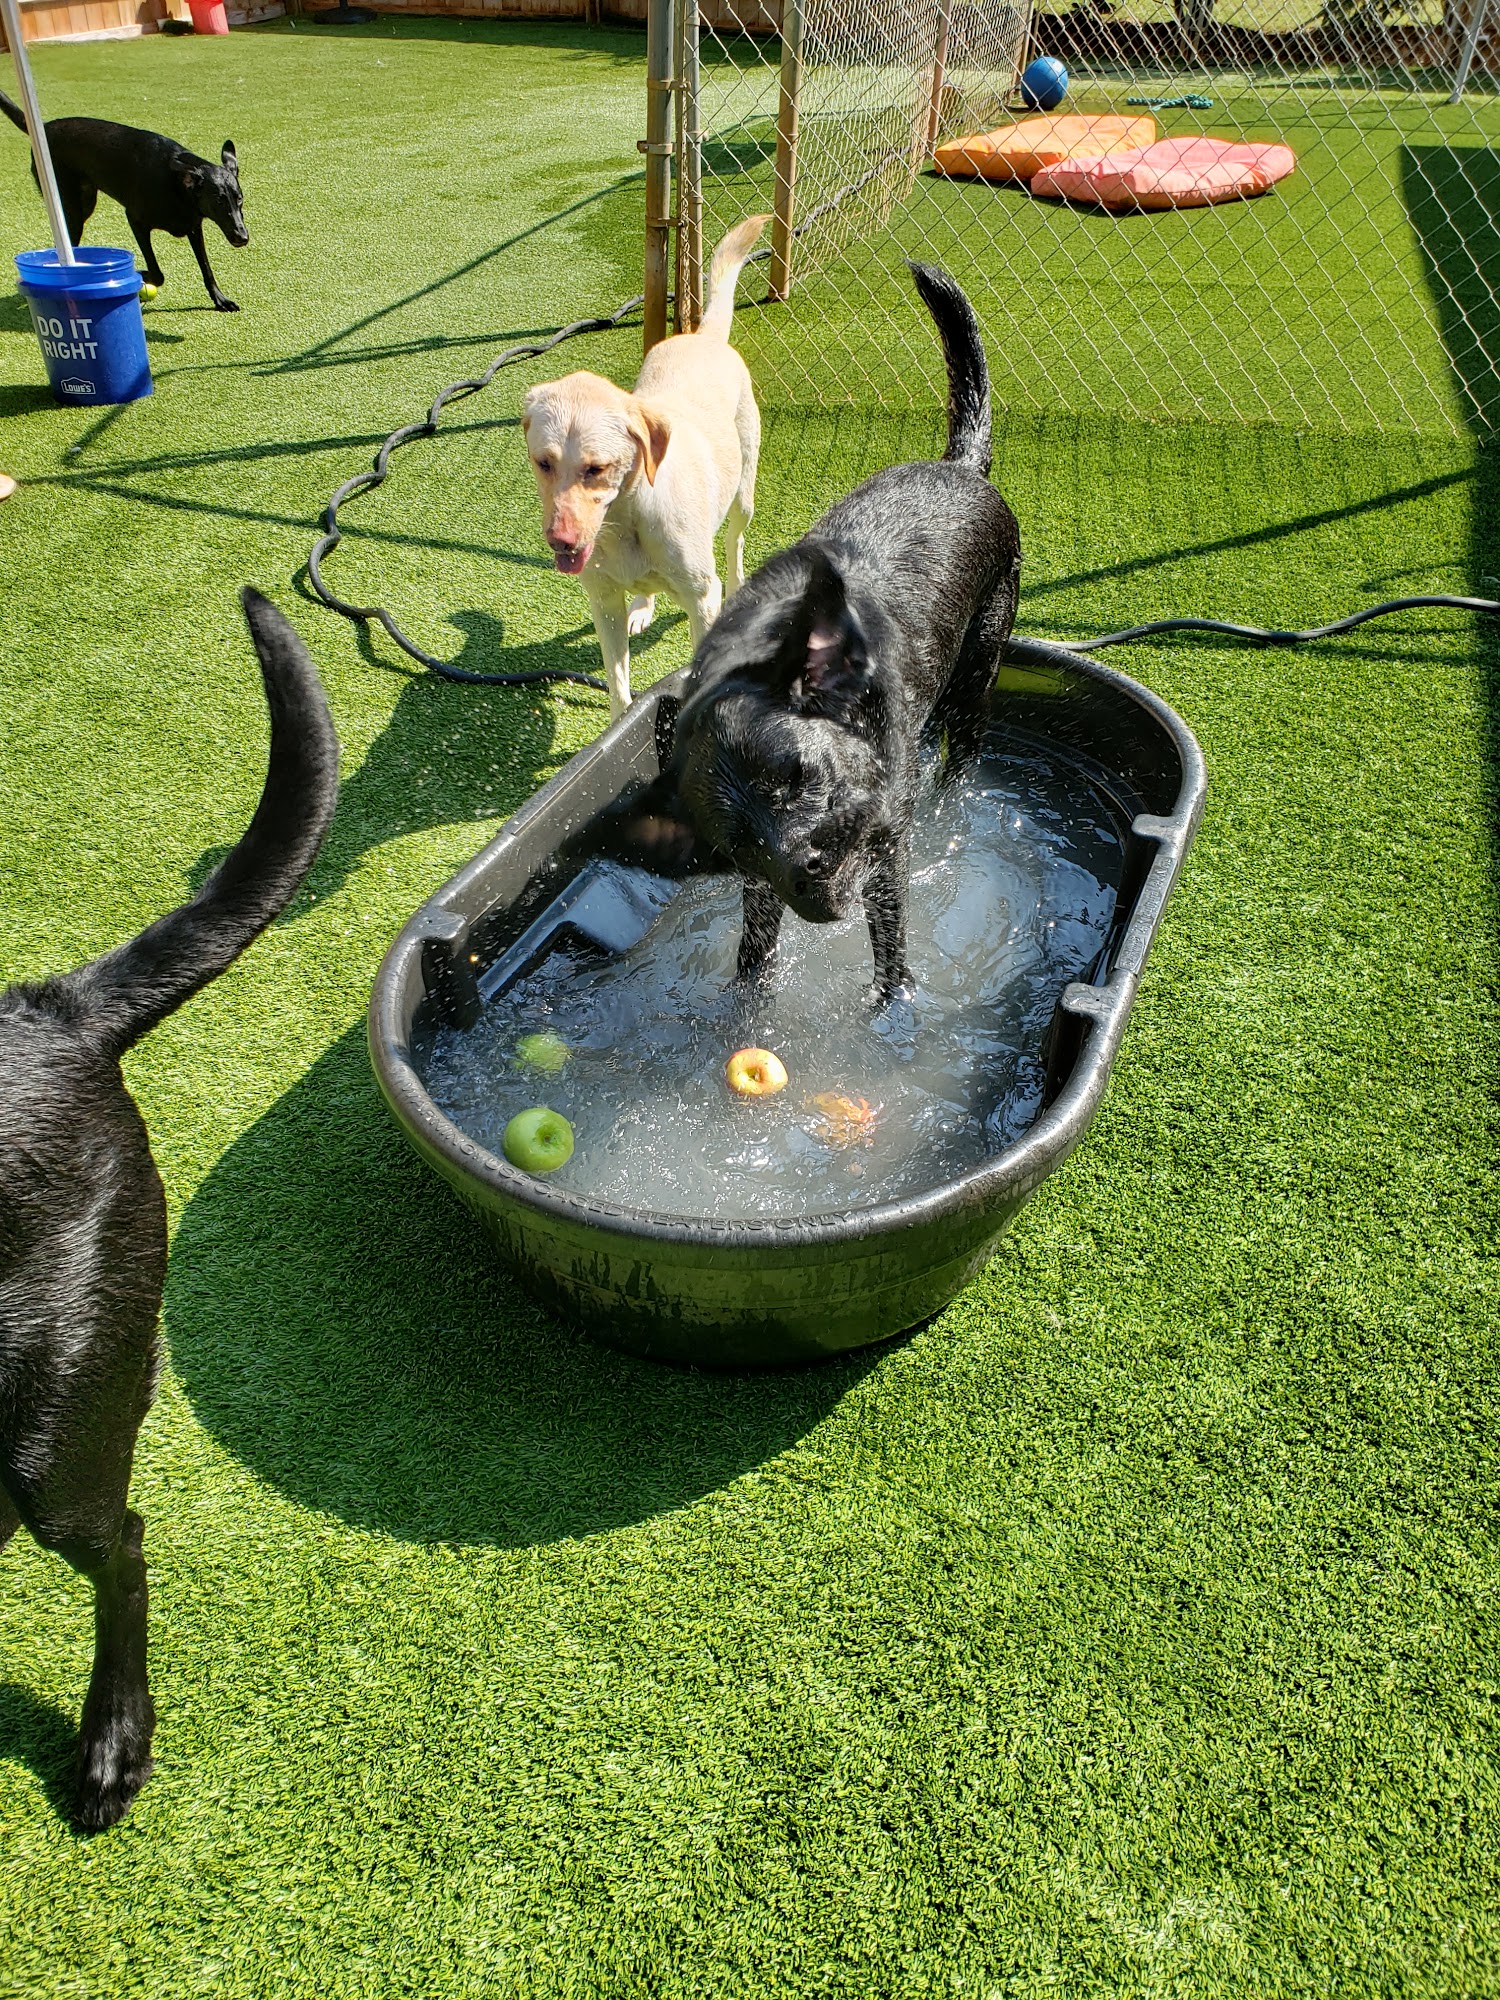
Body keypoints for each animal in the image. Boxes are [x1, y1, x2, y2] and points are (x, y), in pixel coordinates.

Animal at [0, 91, 248, 311]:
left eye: (239, 199)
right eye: (218, 201)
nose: (242, 236)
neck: (178, 186)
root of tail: (44, 127)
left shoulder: (194, 228)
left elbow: (206, 269)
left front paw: (220, 300)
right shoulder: (135, 219)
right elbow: (157, 274)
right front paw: (140, 274)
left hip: (84, 203)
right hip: (71, 209)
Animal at [521, 214, 769, 721]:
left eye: (596, 468)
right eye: (543, 462)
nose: (560, 541)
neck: (626, 519)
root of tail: (702, 336)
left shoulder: (701, 598)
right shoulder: (602, 602)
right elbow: (618, 686)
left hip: (744, 495)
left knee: (735, 543)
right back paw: (643, 604)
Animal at [583, 262, 1021, 1004]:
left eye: (799, 775)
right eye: (736, 841)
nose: (811, 866)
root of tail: (961, 465)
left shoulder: (882, 843)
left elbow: (890, 948)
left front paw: (894, 1008)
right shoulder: (764, 885)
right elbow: (754, 955)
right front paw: (741, 1011)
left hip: (977, 676)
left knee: (960, 758)